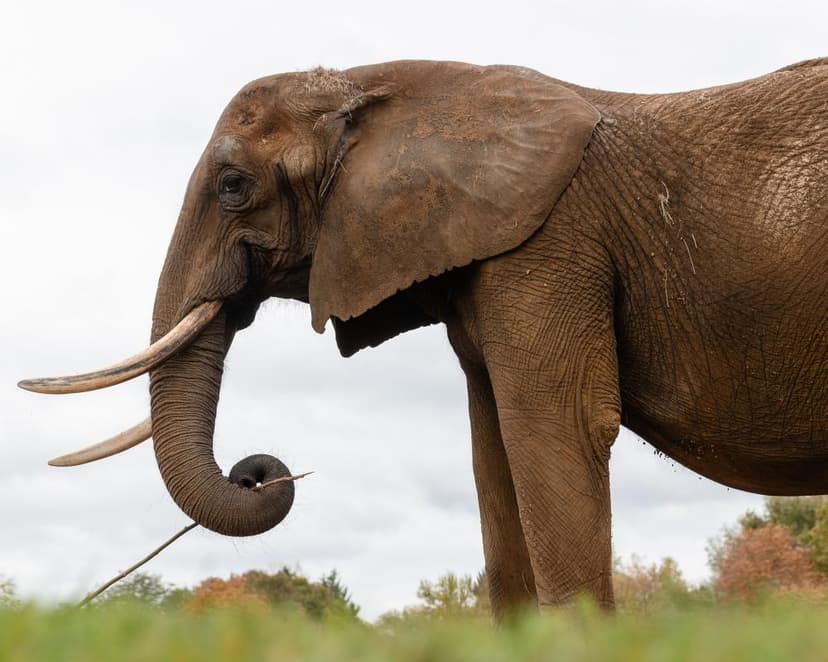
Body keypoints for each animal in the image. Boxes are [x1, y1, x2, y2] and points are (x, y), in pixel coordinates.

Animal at [20, 59, 828, 618]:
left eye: (232, 187)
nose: (261, 473)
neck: (376, 87)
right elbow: (493, 454)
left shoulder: (546, 247)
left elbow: (556, 432)